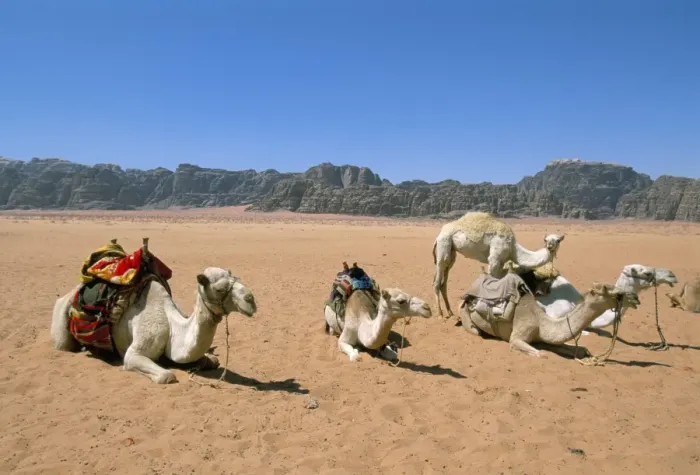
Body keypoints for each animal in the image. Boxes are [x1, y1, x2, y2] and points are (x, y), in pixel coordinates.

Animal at [51, 266, 257, 384]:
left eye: (236, 279)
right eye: (220, 288)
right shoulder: (135, 351)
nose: (250, 300)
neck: (173, 327)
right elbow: (166, 375)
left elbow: (213, 360)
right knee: (63, 344)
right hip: (61, 324)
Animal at [431, 211, 565, 318]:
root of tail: (439, 234)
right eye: (546, 240)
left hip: (451, 251)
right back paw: (441, 314)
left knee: (444, 279)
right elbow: (491, 283)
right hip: (444, 243)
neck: (512, 249)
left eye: (558, 240)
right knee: (438, 279)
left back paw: (450, 312)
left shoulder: (501, 263)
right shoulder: (494, 259)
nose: (550, 246)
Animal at [458, 269, 641, 358]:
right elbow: (541, 354)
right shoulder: (517, 337)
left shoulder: (543, 337)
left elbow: (577, 349)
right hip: (467, 317)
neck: (541, 321)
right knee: (476, 331)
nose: (636, 298)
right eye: (617, 294)